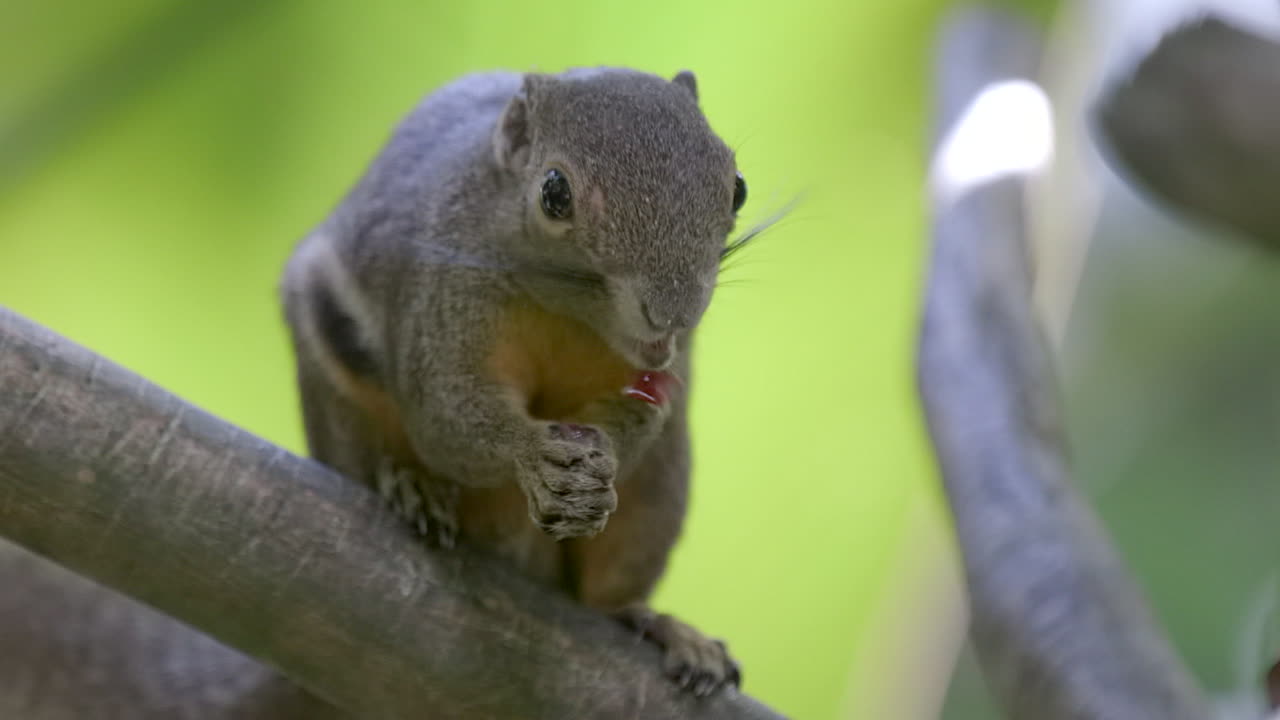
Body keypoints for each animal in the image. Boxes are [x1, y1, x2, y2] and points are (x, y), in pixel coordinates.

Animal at [281, 67, 749, 697]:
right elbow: (449, 414)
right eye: (555, 193)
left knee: (610, 593)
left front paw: (607, 450)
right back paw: (411, 486)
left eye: (737, 188)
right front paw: (533, 455)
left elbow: (636, 420)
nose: (671, 312)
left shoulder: (656, 368)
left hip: (658, 493)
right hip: (340, 407)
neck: (566, 313)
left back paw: (662, 628)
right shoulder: (445, 299)